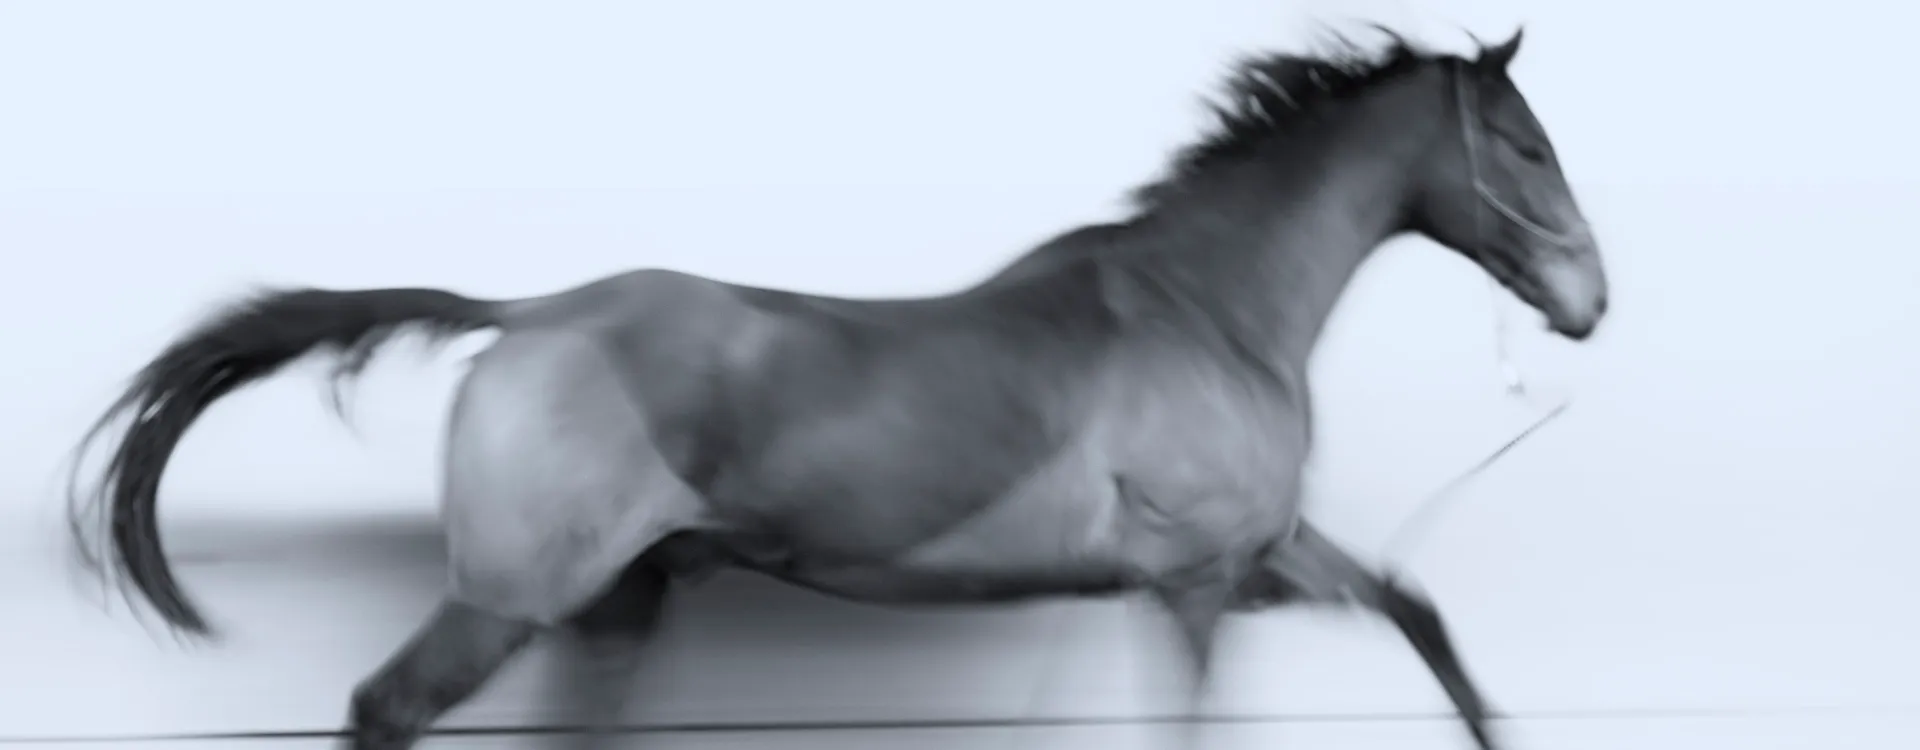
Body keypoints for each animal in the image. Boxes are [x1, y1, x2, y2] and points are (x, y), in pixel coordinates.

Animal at [65, 28, 1605, 750]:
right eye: (1528, 146)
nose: (1591, 300)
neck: (1204, 310)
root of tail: (531, 317)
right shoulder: (1193, 582)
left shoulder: (1258, 560)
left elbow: (1418, 609)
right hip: (509, 597)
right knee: (384, 707)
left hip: (617, 600)